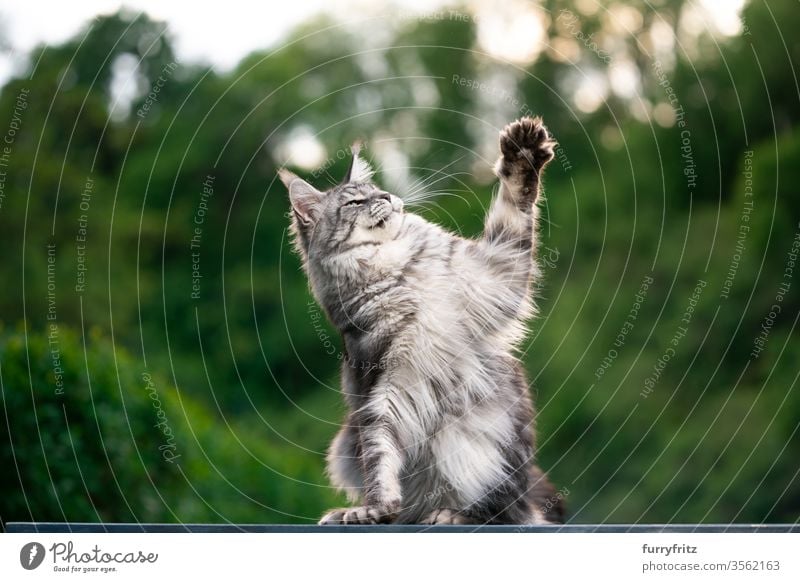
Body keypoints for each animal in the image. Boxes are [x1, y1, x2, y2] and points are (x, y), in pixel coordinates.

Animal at [280, 116, 564, 528]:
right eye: (355, 201)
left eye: (377, 190)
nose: (386, 197)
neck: (401, 265)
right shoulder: (387, 382)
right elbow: (380, 452)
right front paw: (374, 508)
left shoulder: (497, 271)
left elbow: (514, 204)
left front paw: (523, 149)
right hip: (347, 446)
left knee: (500, 511)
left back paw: (448, 514)